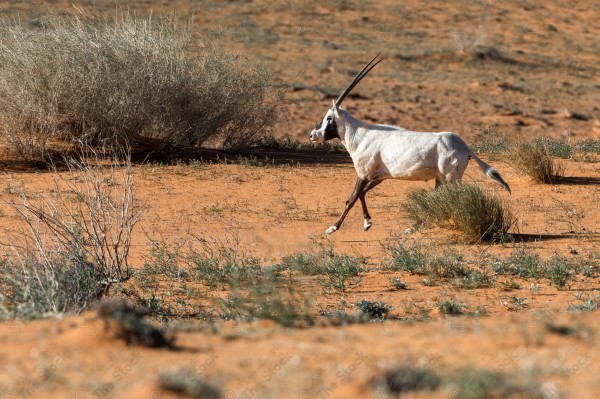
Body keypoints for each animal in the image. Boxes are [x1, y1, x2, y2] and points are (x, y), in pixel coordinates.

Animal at [310, 52, 510, 234]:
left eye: (328, 118)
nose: (313, 135)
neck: (360, 134)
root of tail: (464, 147)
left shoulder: (363, 173)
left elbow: (351, 198)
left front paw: (333, 228)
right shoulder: (379, 176)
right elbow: (363, 194)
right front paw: (367, 223)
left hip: (451, 177)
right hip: (441, 178)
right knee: (438, 198)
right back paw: (416, 227)